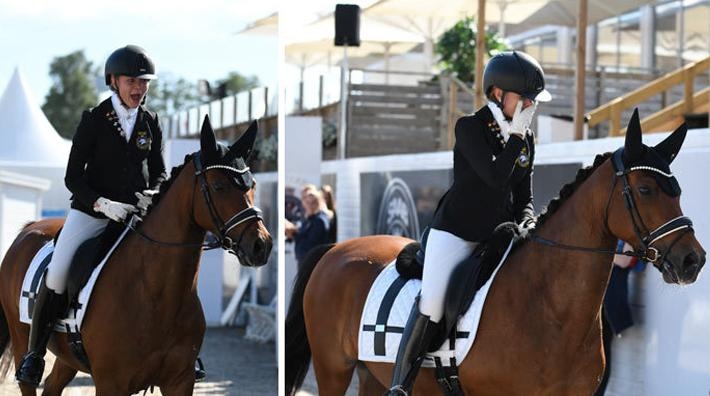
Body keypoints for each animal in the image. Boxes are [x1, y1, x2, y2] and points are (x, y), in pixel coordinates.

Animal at [0, 116, 274, 394]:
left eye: (252, 185)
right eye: (218, 186)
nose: (261, 245)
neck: (155, 292)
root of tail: (29, 229)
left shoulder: (180, 380)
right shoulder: (111, 383)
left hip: (68, 357)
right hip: (21, 337)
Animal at [288, 111, 708, 396]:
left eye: (677, 190)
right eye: (645, 190)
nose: (693, 260)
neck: (548, 305)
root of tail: (336, 249)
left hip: (368, 372)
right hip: (332, 367)